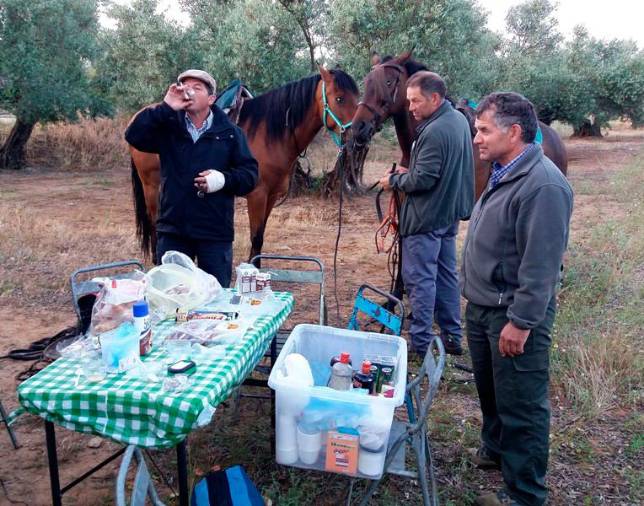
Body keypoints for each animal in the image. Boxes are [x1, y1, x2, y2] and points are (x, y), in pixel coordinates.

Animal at [128, 66, 360, 260]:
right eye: (340, 99)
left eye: (357, 98)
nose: (361, 131)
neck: (272, 135)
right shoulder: (257, 195)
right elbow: (255, 237)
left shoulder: (271, 196)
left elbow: (260, 238)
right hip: (151, 185)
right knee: (154, 222)